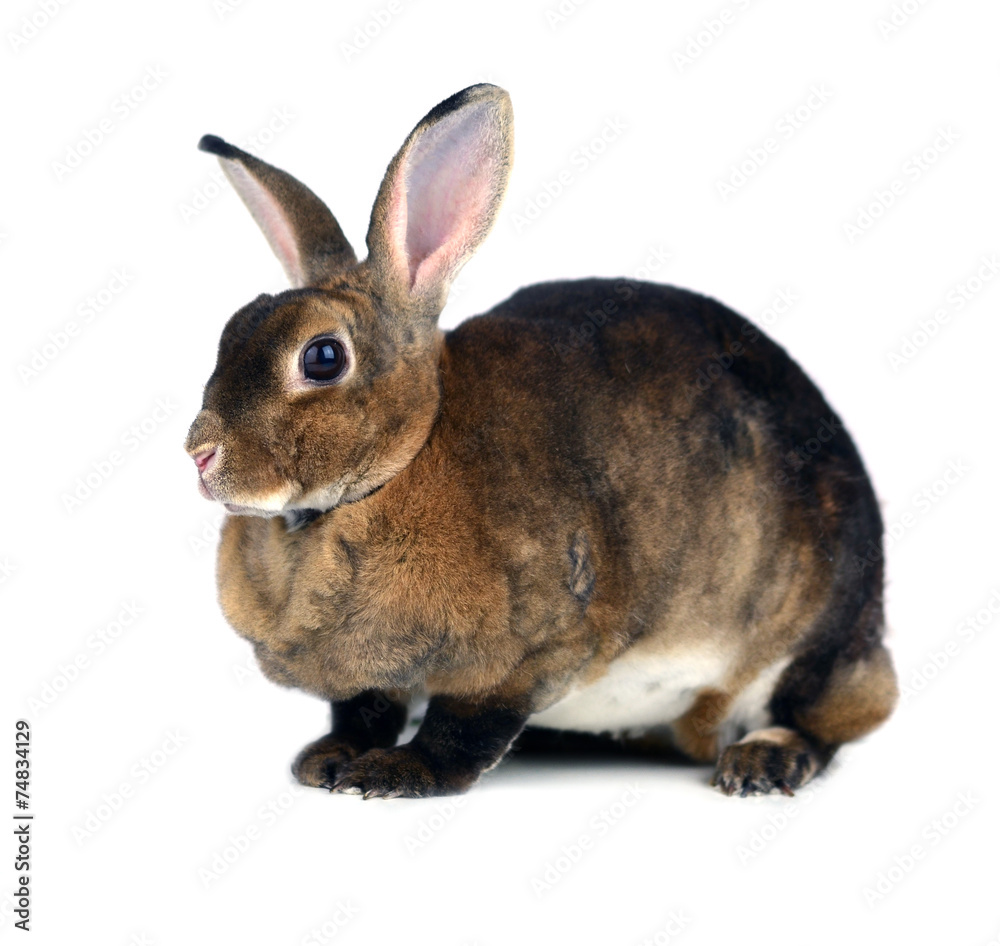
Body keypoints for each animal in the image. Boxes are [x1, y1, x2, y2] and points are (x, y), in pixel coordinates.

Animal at [185, 84, 898, 799]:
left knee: (822, 719)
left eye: (323, 357)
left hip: (813, 642)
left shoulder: (534, 652)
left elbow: (465, 725)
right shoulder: (372, 682)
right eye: (231, 329)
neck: (404, 460)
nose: (200, 454)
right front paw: (327, 761)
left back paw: (761, 763)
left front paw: (395, 774)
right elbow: (363, 711)